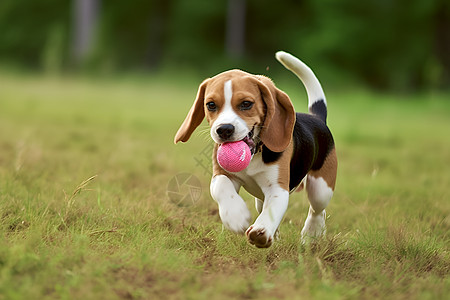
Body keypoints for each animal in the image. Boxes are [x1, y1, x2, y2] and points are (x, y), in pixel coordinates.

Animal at [174, 52, 336, 248]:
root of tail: (316, 118)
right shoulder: (221, 174)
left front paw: (261, 231)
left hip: (321, 188)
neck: (254, 154)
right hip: (261, 199)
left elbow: (272, 210)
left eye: (246, 104)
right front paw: (236, 216)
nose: (224, 130)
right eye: (211, 105)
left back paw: (311, 235)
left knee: (317, 210)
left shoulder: (278, 188)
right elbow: (222, 187)